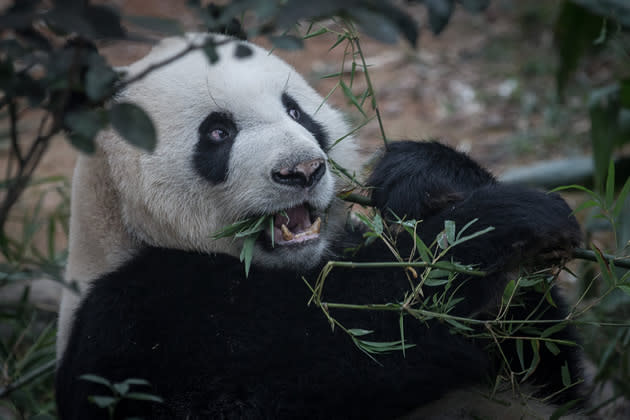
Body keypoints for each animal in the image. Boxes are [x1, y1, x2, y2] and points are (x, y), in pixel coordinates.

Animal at [58, 33, 588, 420]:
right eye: (218, 132)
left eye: (296, 111)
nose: (303, 170)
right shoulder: (135, 320)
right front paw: (498, 228)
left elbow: (542, 362)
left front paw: (423, 177)